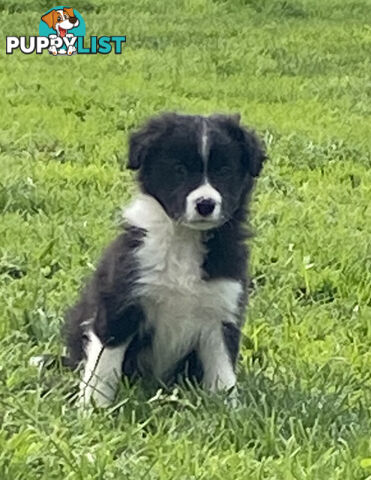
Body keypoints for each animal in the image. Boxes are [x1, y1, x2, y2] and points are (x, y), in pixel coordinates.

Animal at [64, 112, 268, 404]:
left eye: (224, 171)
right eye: (179, 169)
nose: (205, 204)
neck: (184, 239)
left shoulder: (221, 314)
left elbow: (223, 374)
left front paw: (228, 408)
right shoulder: (120, 304)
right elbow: (103, 368)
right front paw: (93, 408)